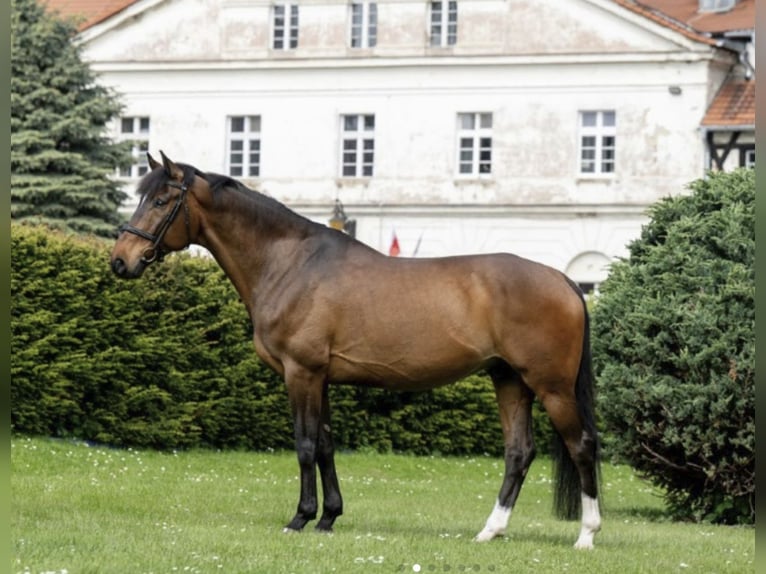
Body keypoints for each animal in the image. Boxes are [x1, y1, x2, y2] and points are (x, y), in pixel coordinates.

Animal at [110, 151, 602, 549]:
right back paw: (490, 531)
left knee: (581, 445)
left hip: (551, 386)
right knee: (519, 452)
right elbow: (326, 445)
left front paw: (300, 518)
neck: (290, 263)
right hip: (509, 380)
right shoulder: (321, 378)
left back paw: (586, 535)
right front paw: (328, 518)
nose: (120, 260)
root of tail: (563, 279)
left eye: (160, 201)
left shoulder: (301, 373)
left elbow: (306, 444)